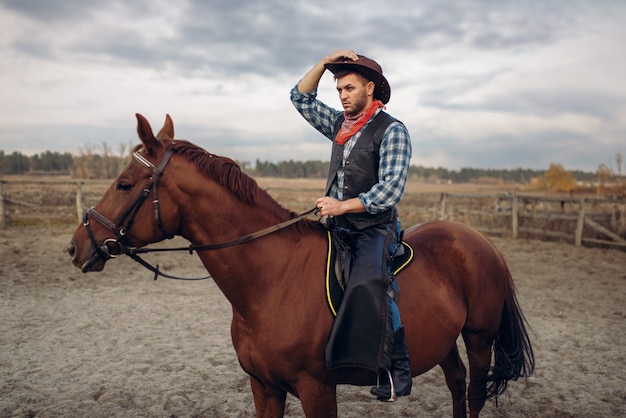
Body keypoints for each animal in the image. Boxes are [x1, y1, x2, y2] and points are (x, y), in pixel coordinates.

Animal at [70, 114, 532, 418]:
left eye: (124, 185)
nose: (77, 246)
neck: (271, 280)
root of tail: (480, 241)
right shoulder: (264, 387)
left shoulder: (316, 390)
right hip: (443, 340)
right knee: (455, 384)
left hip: (479, 338)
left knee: (473, 392)